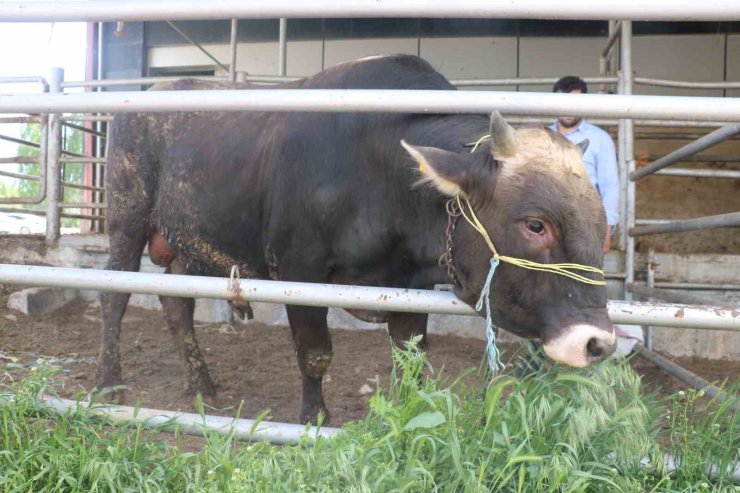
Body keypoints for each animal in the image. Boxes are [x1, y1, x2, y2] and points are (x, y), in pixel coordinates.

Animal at [99, 54, 620, 422]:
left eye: (599, 222)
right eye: (536, 224)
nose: (598, 342)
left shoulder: (411, 285)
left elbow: (410, 356)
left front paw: (411, 408)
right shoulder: (299, 270)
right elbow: (315, 353)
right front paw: (314, 416)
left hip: (186, 243)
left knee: (176, 303)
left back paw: (201, 384)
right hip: (126, 217)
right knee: (115, 295)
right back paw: (109, 384)